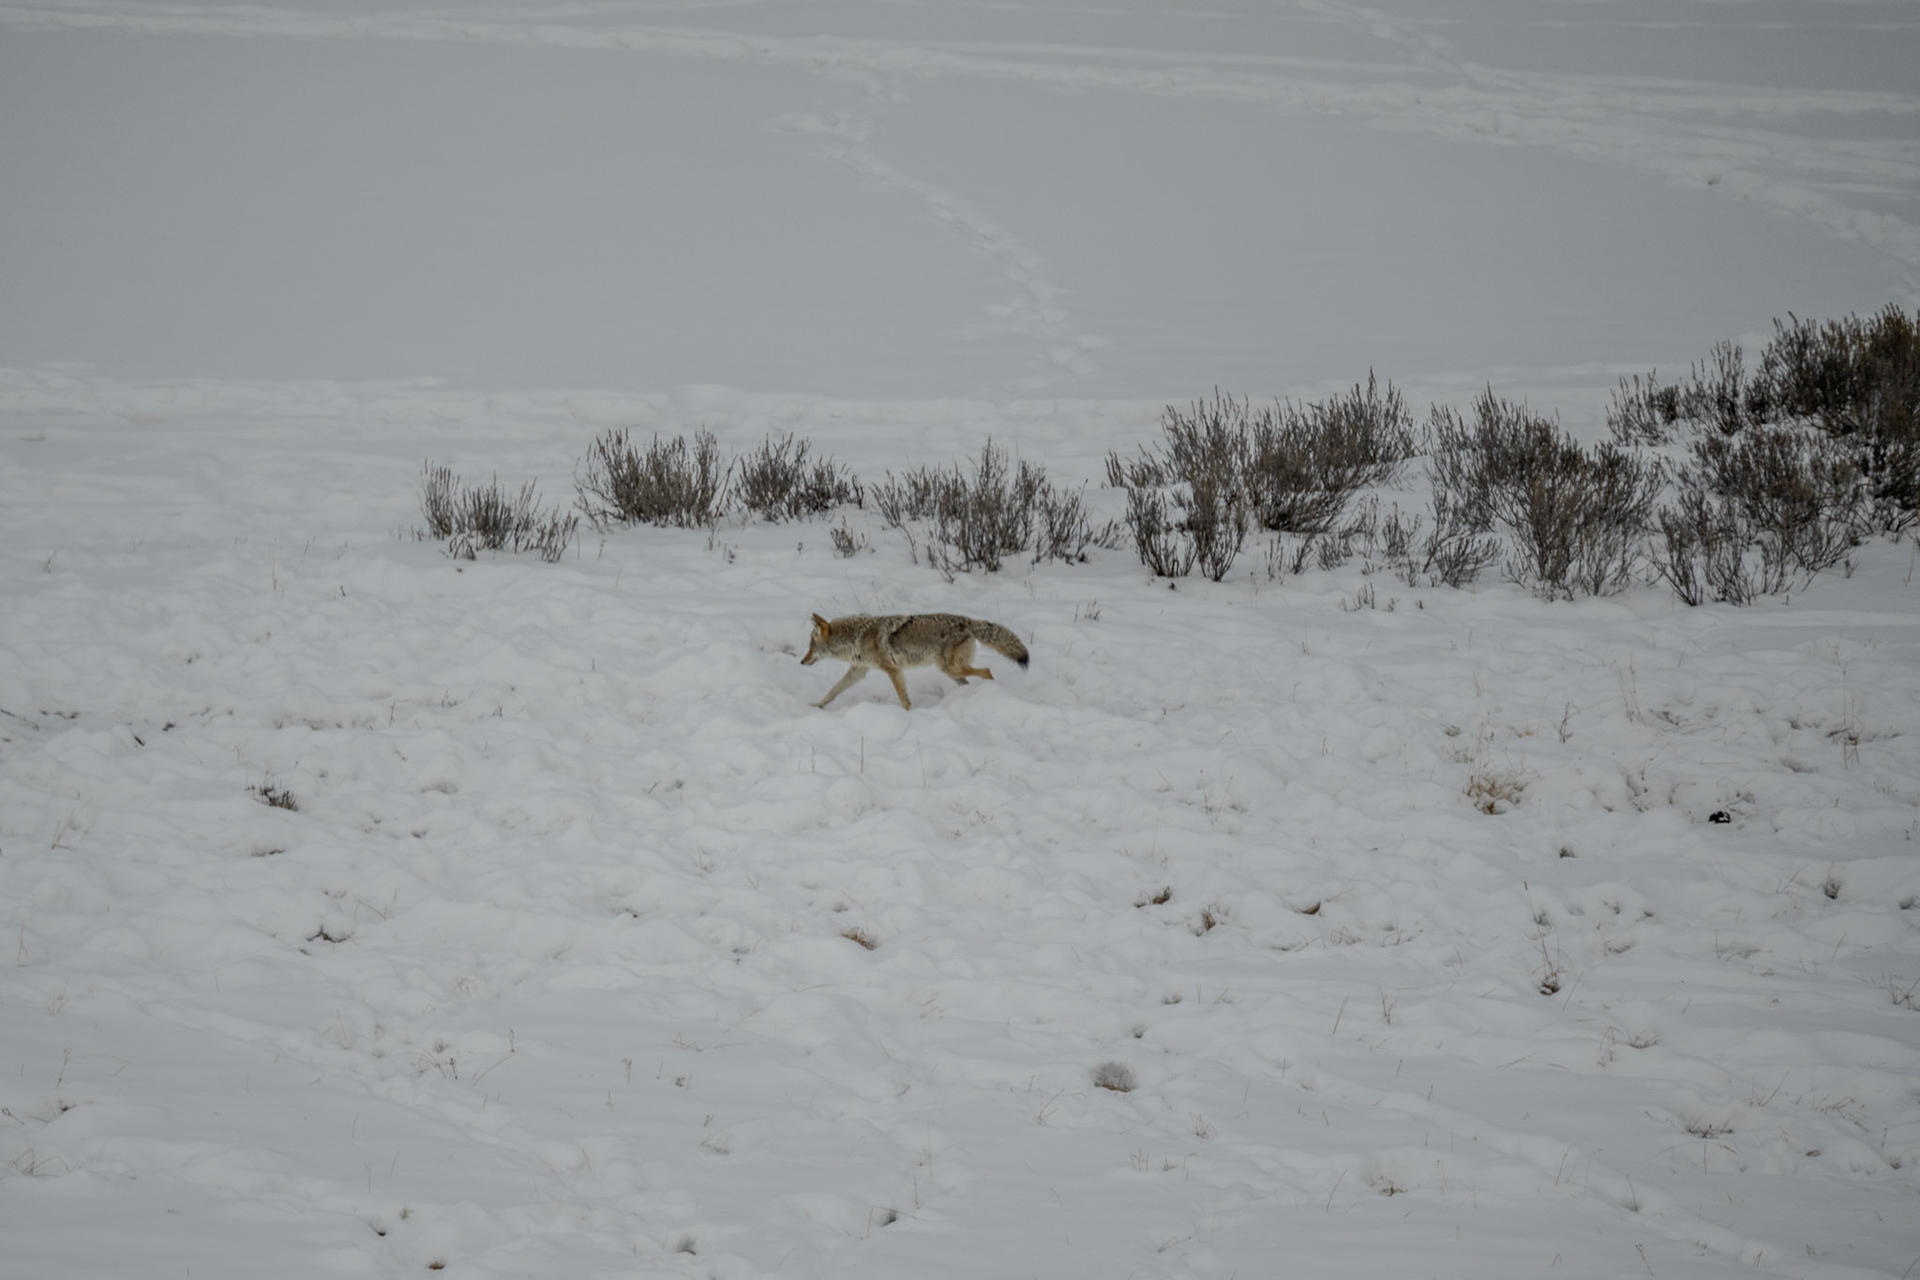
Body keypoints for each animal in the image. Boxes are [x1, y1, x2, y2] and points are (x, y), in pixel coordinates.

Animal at [801, 613, 1029, 709]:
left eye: (810, 647)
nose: (802, 662)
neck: (857, 638)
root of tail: (969, 621)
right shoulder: (858, 671)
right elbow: (833, 691)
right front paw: (817, 705)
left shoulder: (893, 671)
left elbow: (904, 699)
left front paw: (908, 715)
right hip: (952, 673)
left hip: (951, 669)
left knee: (987, 671)